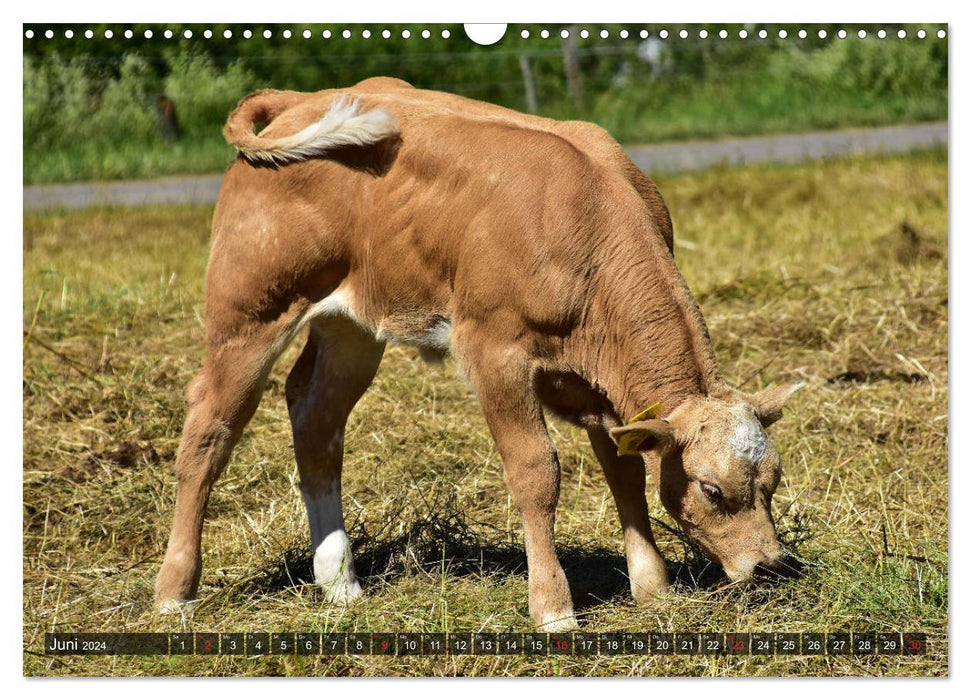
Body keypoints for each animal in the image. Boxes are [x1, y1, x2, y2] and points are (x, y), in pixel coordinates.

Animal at [154, 76, 804, 628]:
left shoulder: (600, 382)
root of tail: (302, 99)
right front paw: (553, 607)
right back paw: (175, 592)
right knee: (209, 430)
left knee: (316, 418)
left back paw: (340, 582)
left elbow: (622, 469)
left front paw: (652, 587)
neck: (588, 223)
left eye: (773, 481)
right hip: (249, 313)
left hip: (352, 327)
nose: (769, 567)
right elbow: (536, 472)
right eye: (712, 490)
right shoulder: (496, 353)